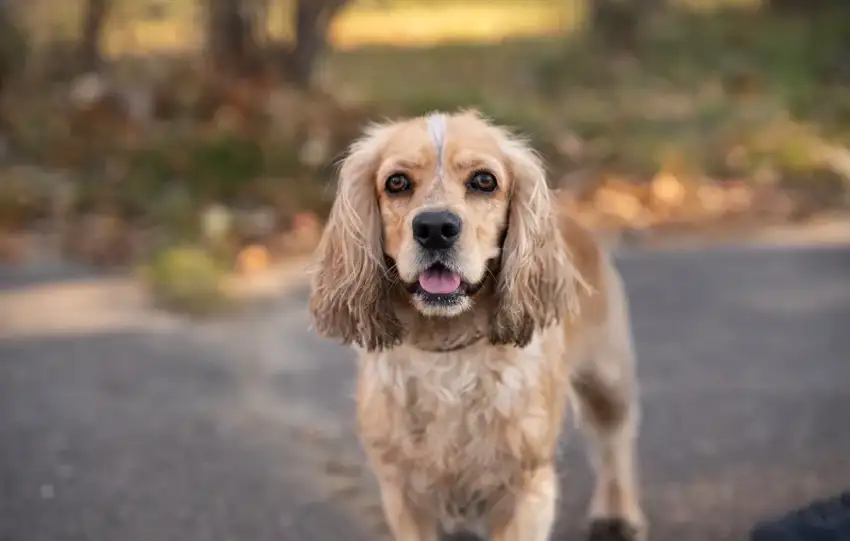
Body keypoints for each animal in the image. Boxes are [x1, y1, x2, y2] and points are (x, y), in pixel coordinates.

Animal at [308, 110, 644, 540]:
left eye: (484, 181)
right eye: (396, 182)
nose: (435, 227)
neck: (448, 349)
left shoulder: (527, 489)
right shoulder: (404, 494)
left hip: (608, 379)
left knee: (615, 442)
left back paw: (618, 514)